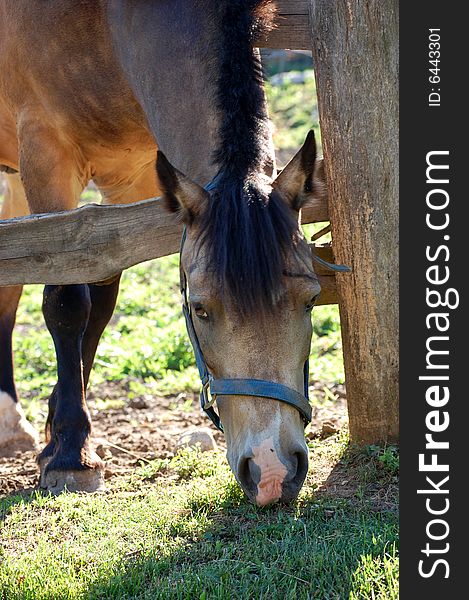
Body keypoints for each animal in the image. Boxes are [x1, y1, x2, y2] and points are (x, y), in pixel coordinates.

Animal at [0, 1, 326, 506]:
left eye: (311, 300)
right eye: (200, 309)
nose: (272, 471)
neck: (107, 23)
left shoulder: (131, 176)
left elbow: (101, 296)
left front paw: (58, 433)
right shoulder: (44, 153)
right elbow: (67, 301)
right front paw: (71, 455)